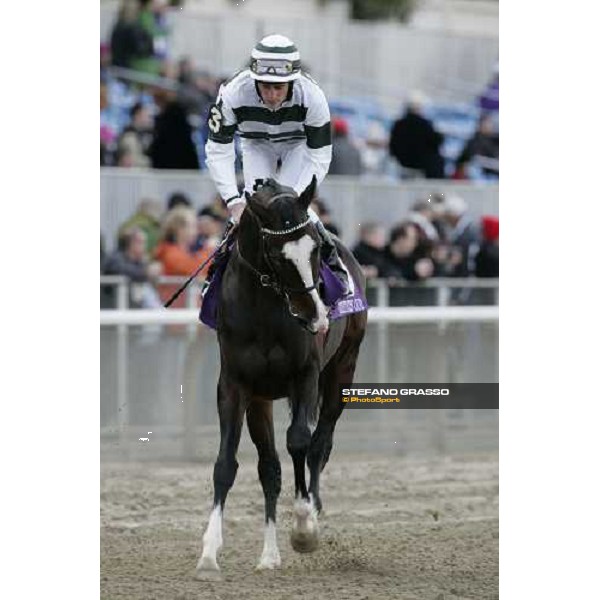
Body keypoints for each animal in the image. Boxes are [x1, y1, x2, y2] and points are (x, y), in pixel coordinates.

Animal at [198, 176, 366, 576]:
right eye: (276, 255)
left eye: (317, 250)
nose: (314, 316)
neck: (264, 310)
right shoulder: (236, 386)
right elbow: (227, 463)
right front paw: (209, 551)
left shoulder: (304, 375)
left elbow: (300, 442)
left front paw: (304, 527)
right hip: (262, 399)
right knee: (270, 468)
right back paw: (268, 556)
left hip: (343, 370)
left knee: (320, 443)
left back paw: (312, 511)